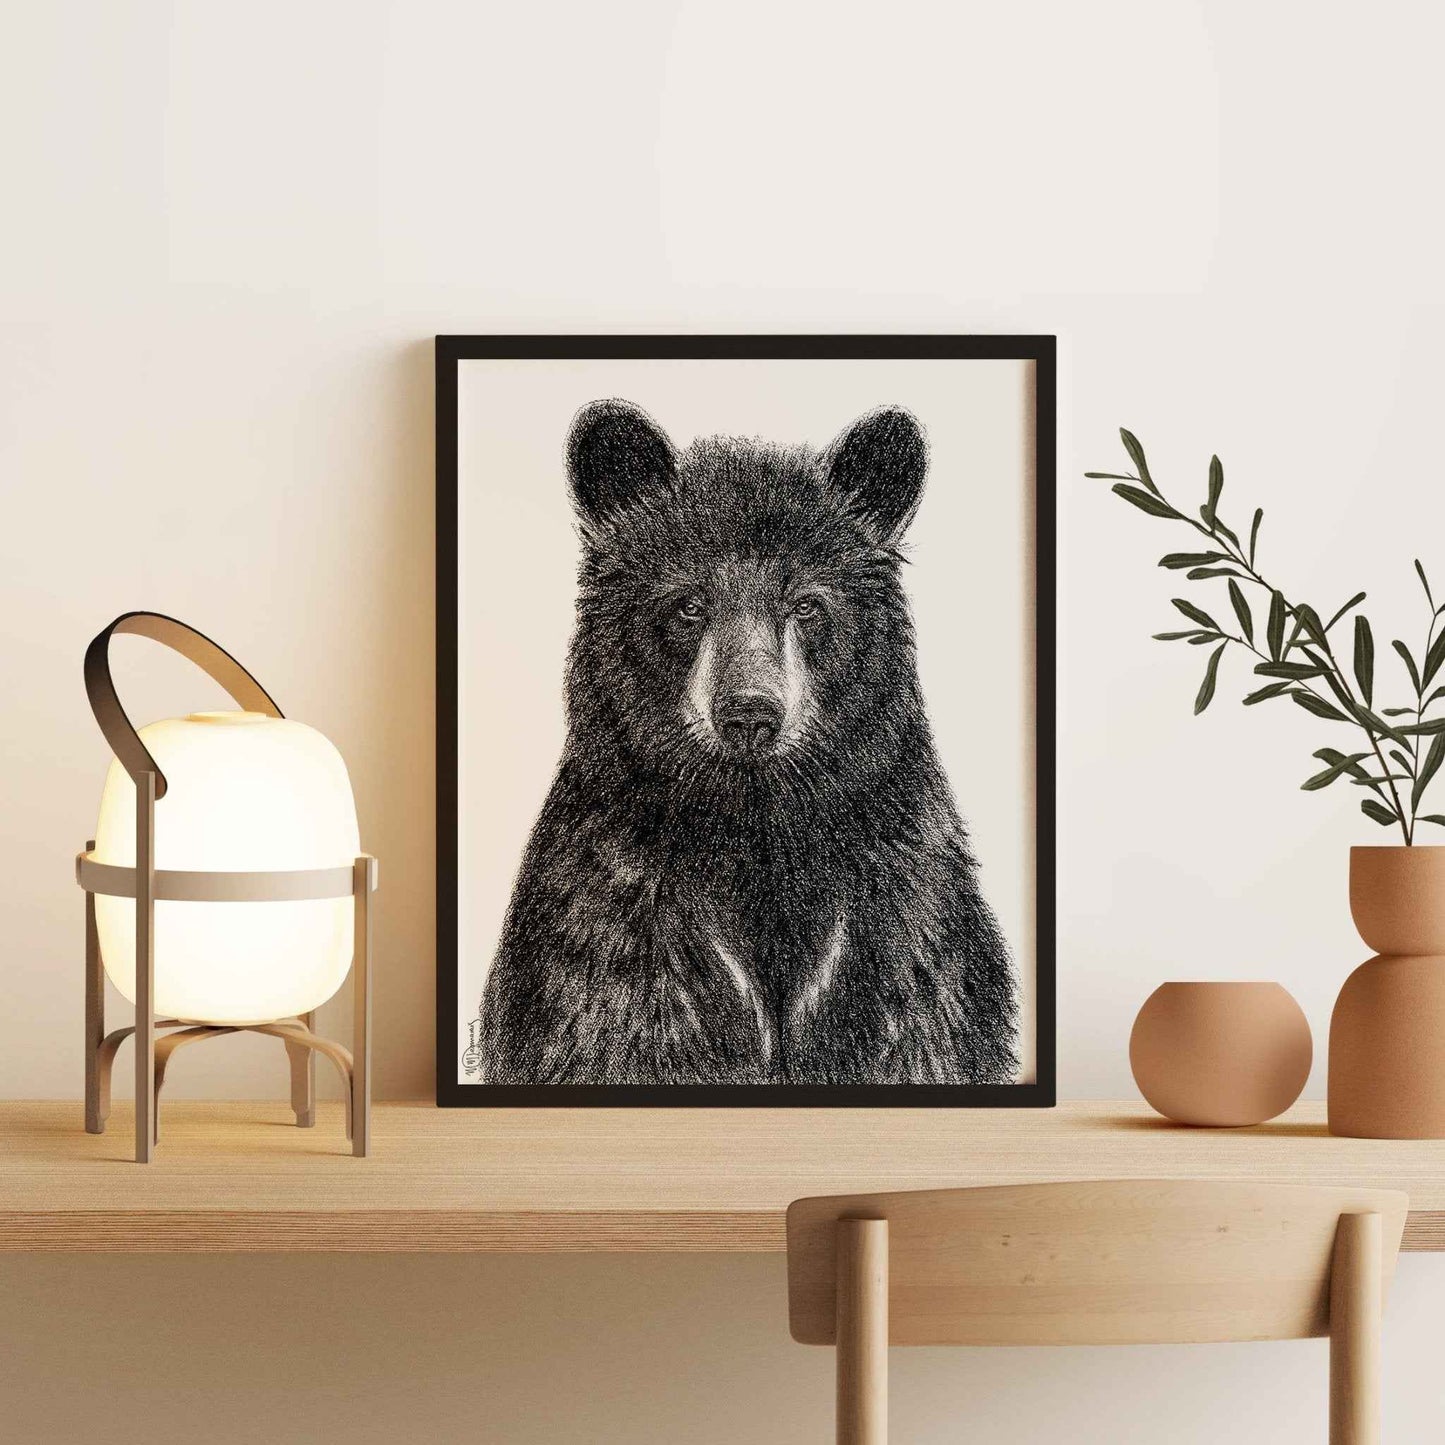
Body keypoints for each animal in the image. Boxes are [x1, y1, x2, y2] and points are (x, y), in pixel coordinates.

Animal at [477, 399, 1018, 1086]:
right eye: (688, 604)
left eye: (807, 605)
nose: (750, 714)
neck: (755, 829)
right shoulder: (616, 928)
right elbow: (614, 1025)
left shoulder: (900, 931)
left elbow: (921, 1023)